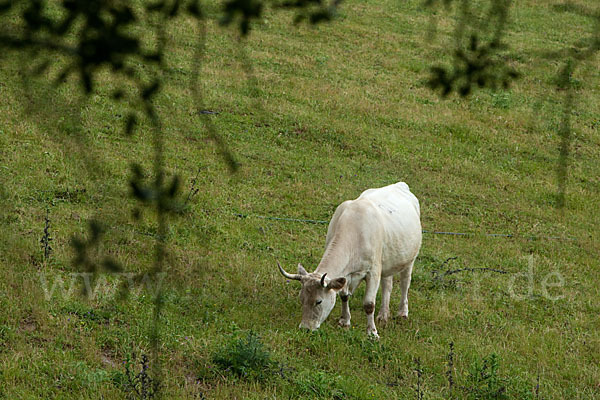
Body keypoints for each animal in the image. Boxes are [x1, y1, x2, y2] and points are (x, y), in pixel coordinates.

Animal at [278, 183, 422, 340]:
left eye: (319, 301)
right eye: (301, 298)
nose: (305, 328)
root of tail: (400, 185)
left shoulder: (373, 271)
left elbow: (369, 304)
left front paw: (372, 333)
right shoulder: (346, 274)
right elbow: (344, 296)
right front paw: (344, 321)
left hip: (409, 259)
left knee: (405, 283)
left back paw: (402, 312)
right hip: (388, 261)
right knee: (387, 285)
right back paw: (383, 315)